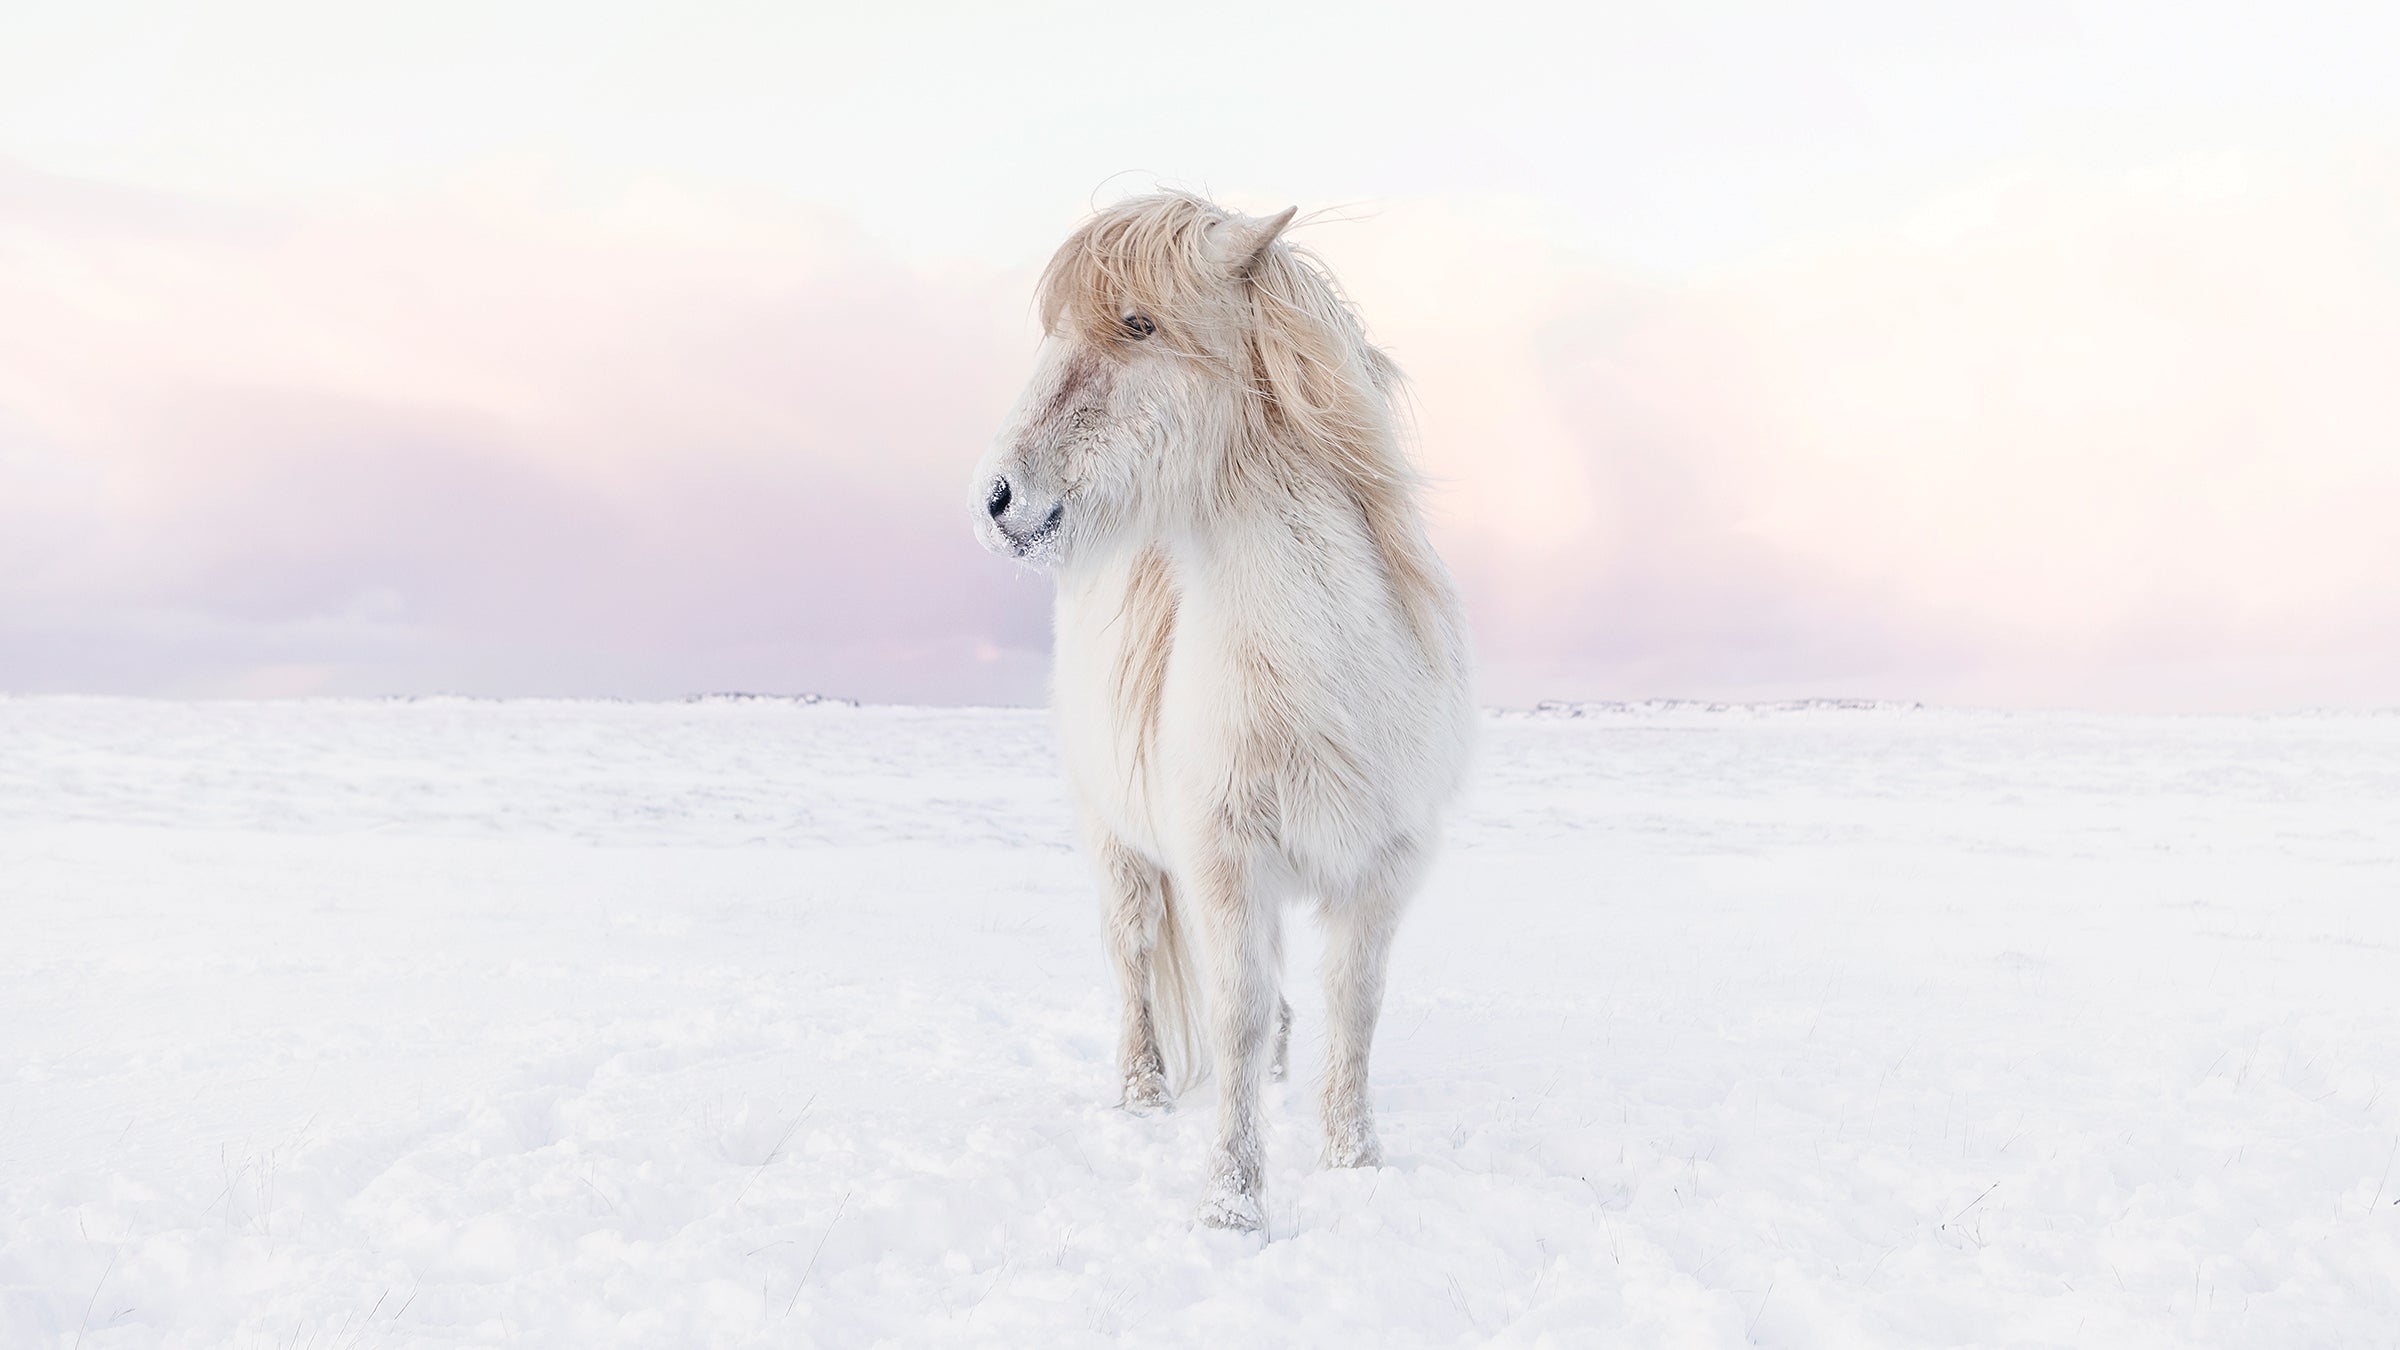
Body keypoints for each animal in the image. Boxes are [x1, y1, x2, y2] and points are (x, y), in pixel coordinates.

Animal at [970, 192, 1475, 1231]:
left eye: (1138, 324)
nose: (995, 499)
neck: (1320, 681)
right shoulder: (1223, 864)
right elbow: (1234, 1014)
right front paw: (1235, 1204)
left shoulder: (1380, 873)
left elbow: (1353, 1008)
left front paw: (1353, 1164)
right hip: (1117, 845)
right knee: (1133, 960)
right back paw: (1143, 1096)